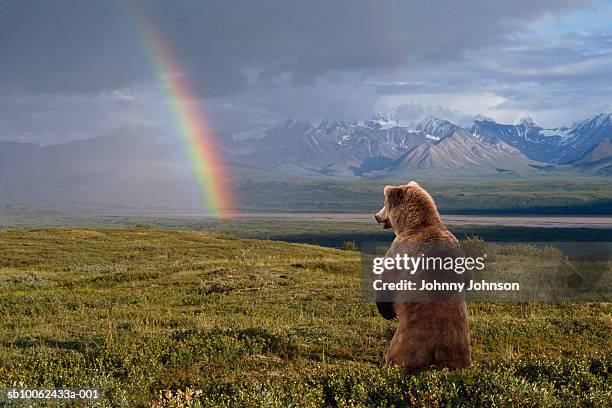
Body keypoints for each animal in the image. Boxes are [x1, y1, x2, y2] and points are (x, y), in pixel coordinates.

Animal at [372, 183, 474, 374]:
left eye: (384, 204)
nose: (376, 216)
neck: (413, 225)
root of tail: (438, 351)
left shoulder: (399, 249)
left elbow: (387, 280)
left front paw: (387, 311)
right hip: (459, 343)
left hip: (409, 341)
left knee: (399, 355)